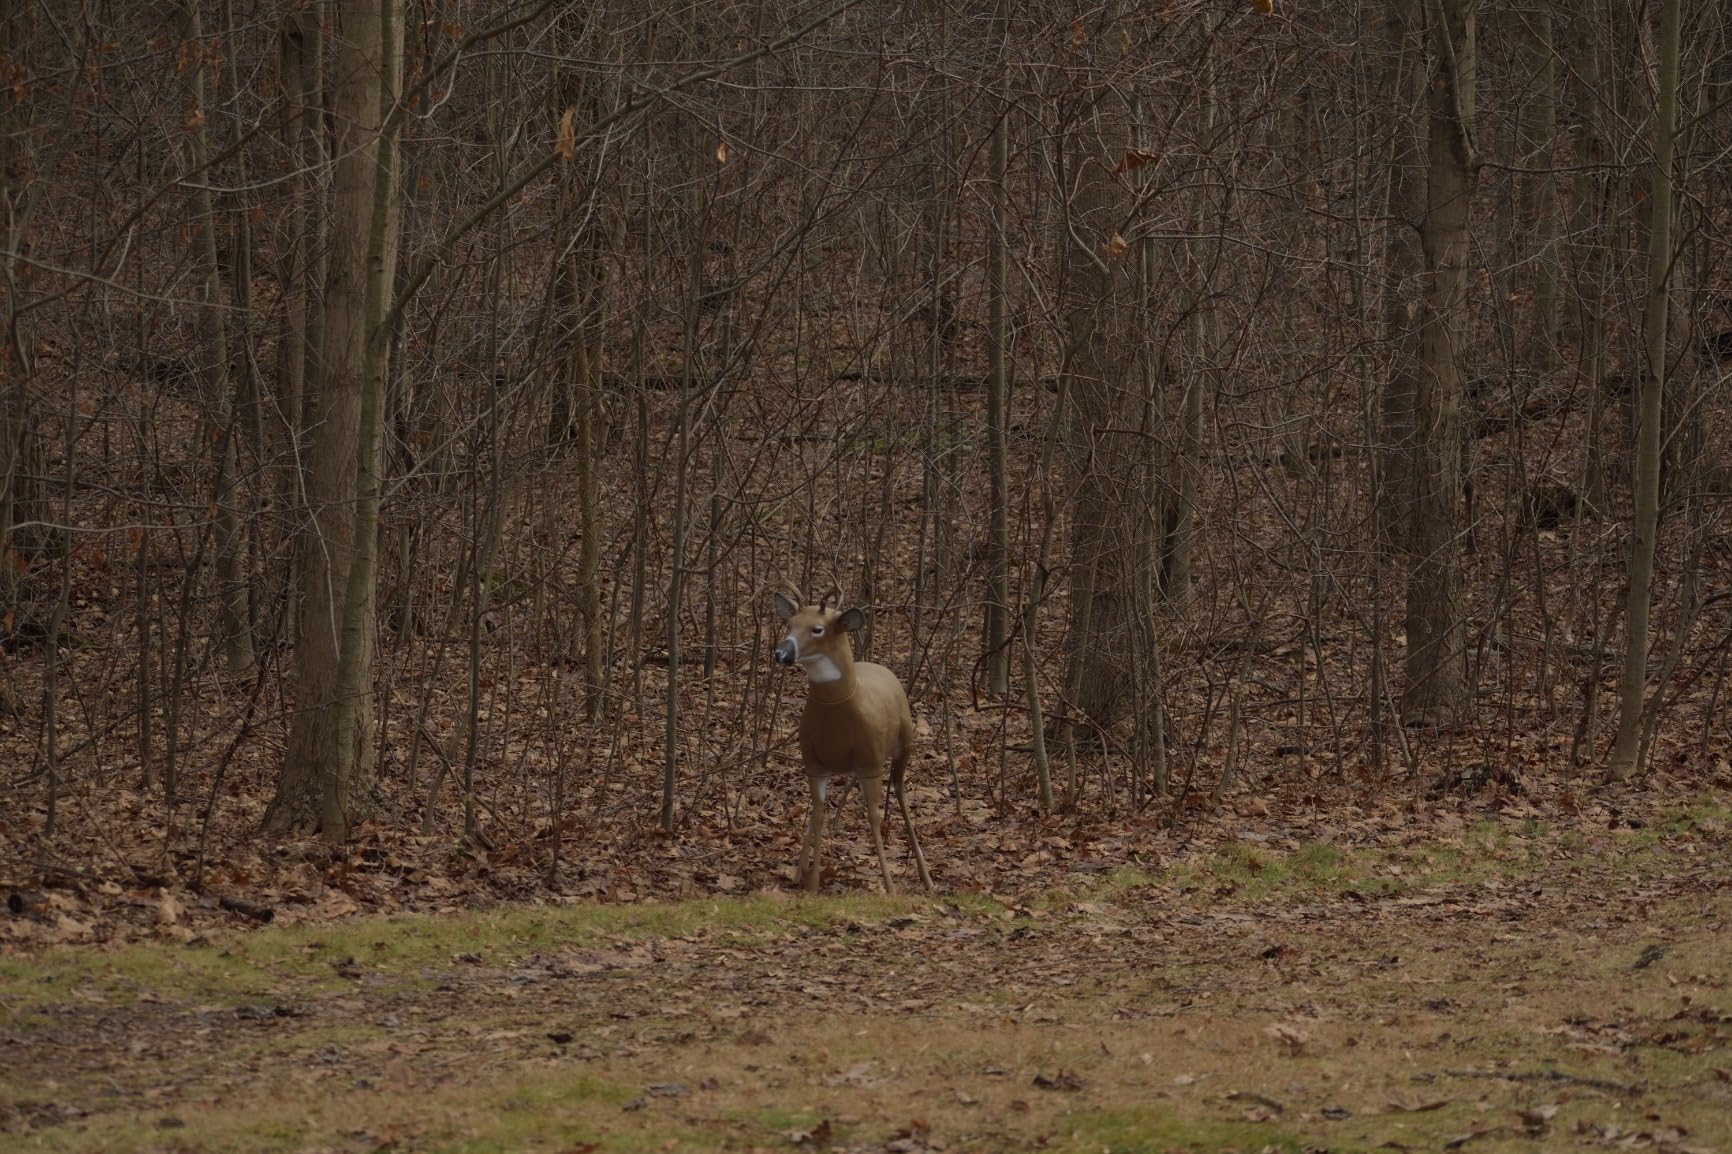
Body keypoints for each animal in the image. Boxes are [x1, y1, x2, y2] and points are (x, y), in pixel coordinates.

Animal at [772, 585, 933, 895]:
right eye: (789, 624)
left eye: (818, 629)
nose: (780, 652)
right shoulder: (813, 763)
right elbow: (818, 815)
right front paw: (811, 885)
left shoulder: (871, 763)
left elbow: (872, 818)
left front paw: (890, 886)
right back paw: (798, 873)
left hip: (904, 745)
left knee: (900, 793)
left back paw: (927, 877)